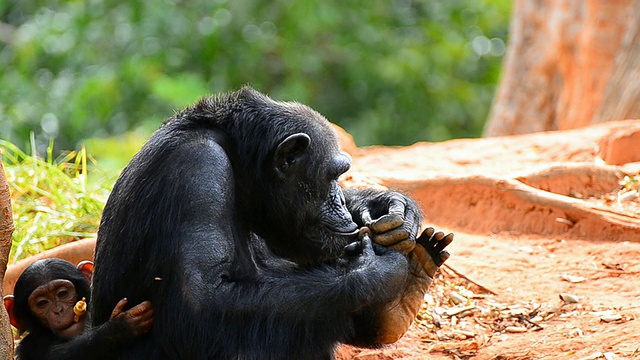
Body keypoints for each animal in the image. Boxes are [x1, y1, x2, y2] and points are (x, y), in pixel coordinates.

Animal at [4, 258, 154, 360]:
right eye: (42, 303)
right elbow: (60, 355)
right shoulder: (31, 347)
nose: (58, 310)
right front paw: (119, 327)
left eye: (62, 293)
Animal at [91, 87, 456, 360]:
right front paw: (374, 272)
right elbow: (203, 298)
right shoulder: (198, 171)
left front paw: (392, 208)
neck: (239, 164)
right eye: (333, 176)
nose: (340, 201)